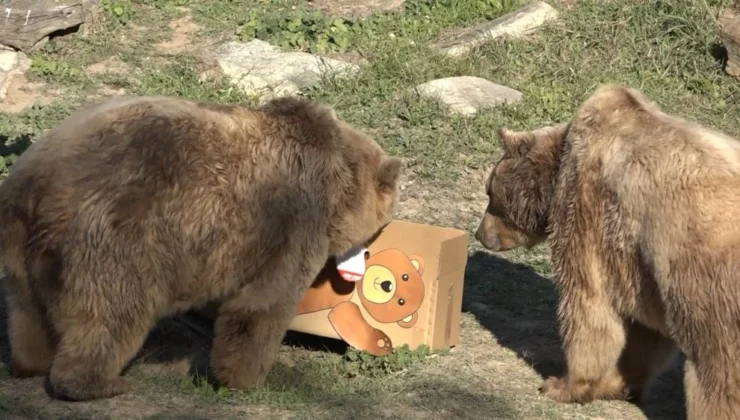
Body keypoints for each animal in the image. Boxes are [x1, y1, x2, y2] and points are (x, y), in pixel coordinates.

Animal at [0, 94, 402, 400]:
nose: (365, 256)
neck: (338, 183)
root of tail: (43, 182)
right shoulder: (290, 222)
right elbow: (262, 306)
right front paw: (247, 378)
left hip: (20, 240)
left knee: (26, 310)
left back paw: (31, 362)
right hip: (116, 236)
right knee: (111, 313)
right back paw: (99, 383)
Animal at [476, 83, 740, 418]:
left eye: (489, 191)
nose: (480, 234)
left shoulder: (588, 210)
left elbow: (588, 303)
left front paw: (563, 384)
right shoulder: (641, 268)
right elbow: (644, 333)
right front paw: (618, 384)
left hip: (709, 286)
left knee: (716, 371)